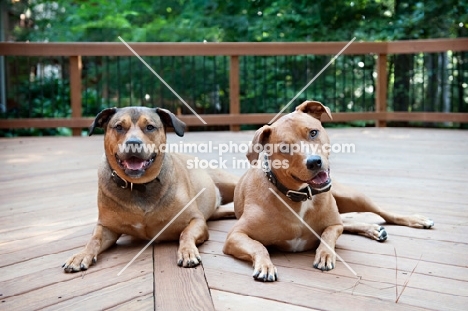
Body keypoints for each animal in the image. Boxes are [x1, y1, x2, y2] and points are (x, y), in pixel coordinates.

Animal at [62, 107, 238, 272]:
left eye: (150, 127)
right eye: (119, 127)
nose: (133, 143)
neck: (138, 185)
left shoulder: (196, 219)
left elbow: (185, 233)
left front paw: (187, 252)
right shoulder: (106, 226)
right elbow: (94, 239)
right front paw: (81, 255)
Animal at [223, 100, 436, 282]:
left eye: (313, 132)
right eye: (284, 147)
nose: (314, 161)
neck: (301, 196)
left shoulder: (333, 224)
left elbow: (328, 234)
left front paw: (325, 255)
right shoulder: (236, 235)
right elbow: (258, 246)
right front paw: (265, 266)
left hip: (353, 197)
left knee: (381, 213)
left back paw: (414, 220)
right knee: (348, 221)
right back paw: (374, 229)